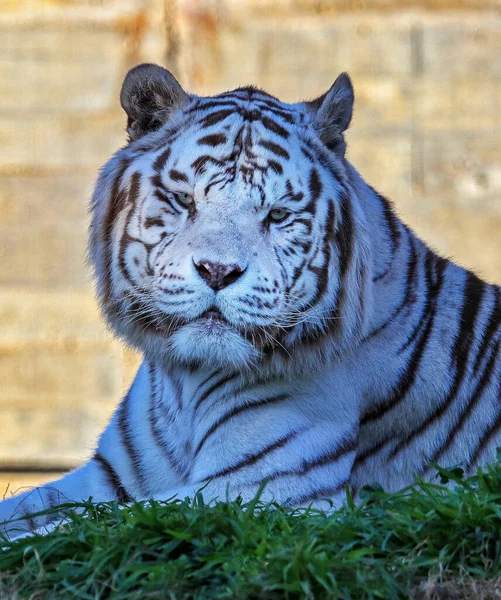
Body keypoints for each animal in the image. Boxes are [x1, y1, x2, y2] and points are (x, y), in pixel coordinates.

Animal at [0, 63, 500, 536]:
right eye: (184, 200)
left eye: (277, 215)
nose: (218, 271)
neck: (184, 383)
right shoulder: (109, 475)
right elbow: (30, 508)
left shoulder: (260, 488)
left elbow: (88, 523)